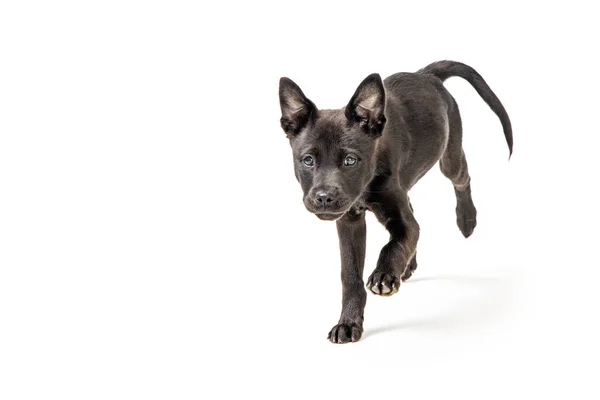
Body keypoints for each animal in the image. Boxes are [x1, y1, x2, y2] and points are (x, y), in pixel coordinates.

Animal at [278, 61, 512, 342]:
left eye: (350, 160)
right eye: (308, 160)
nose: (324, 197)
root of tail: (426, 74)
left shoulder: (398, 217)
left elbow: (395, 242)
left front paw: (384, 274)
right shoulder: (350, 223)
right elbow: (350, 275)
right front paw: (348, 323)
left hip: (450, 156)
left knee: (462, 178)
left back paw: (466, 219)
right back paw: (408, 265)